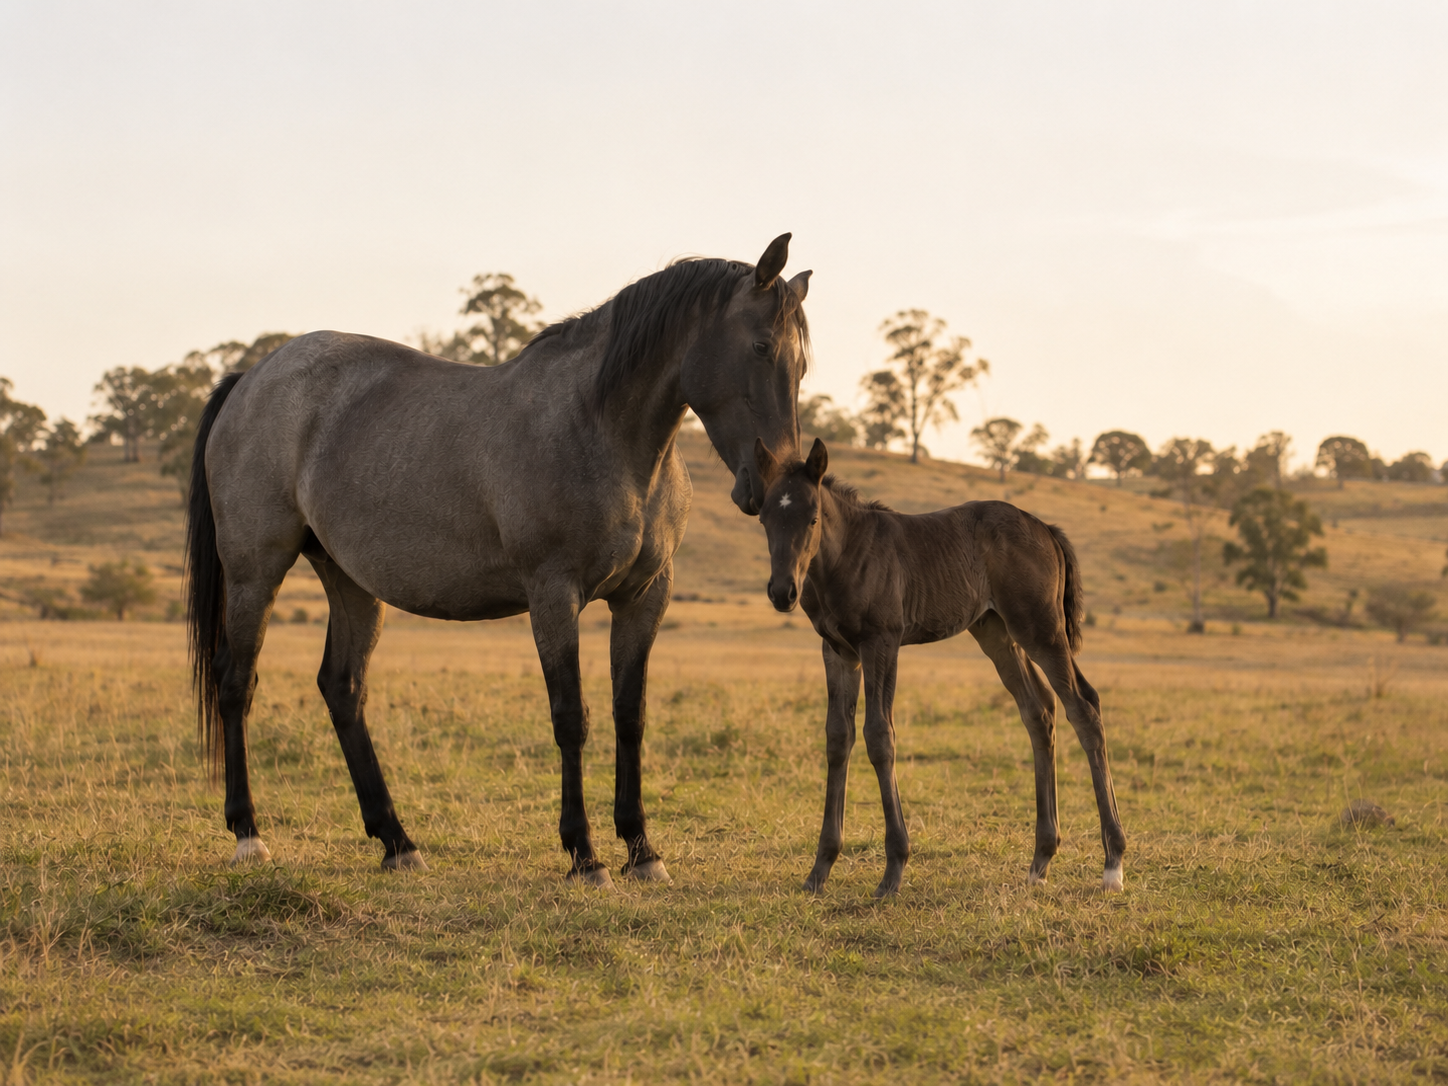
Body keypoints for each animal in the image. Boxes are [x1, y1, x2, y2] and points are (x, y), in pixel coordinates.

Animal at [185, 234, 811, 886]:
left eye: (802, 364)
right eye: (761, 346)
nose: (773, 485)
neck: (601, 431)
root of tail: (251, 378)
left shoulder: (644, 597)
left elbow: (630, 716)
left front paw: (642, 850)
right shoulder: (553, 594)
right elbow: (571, 716)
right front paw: (584, 855)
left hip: (349, 580)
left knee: (343, 688)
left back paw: (397, 841)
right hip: (255, 571)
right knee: (237, 683)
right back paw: (249, 835)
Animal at [754, 439, 1126, 897]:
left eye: (813, 518)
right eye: (765, 518)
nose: (782, 592)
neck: (846, 556)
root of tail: (1046, 529)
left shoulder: (882, 642)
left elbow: (880, 736)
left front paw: (893, 871)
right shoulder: (838, 651)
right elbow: (838, 737)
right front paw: (819, 870)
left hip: (1040, 629)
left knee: (1083, 707)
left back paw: (1112, 863)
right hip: (996, 633)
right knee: (1039, 712)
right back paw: (1040, 860)